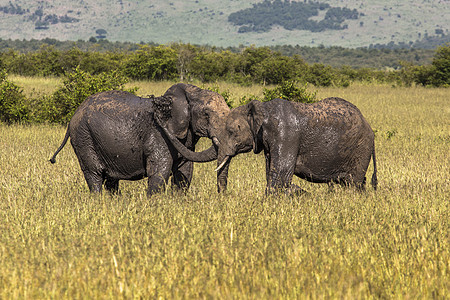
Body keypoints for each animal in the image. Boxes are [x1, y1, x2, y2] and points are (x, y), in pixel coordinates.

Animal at [50, 83, 229, 196]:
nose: (221, 197)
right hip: (84, 138)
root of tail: (73, 116)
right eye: (206, 114)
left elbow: (185, 171)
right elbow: (159, 171)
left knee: (111, 180)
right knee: (94, 175)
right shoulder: (158, 135)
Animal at [163, 97, 378, 193]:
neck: (262, 109)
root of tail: (369, 127)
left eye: (231, 131)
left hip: (361, 148)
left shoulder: (286, 134)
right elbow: (270, 172)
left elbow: (280, 175)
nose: (223, 197)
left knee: (353, 182)